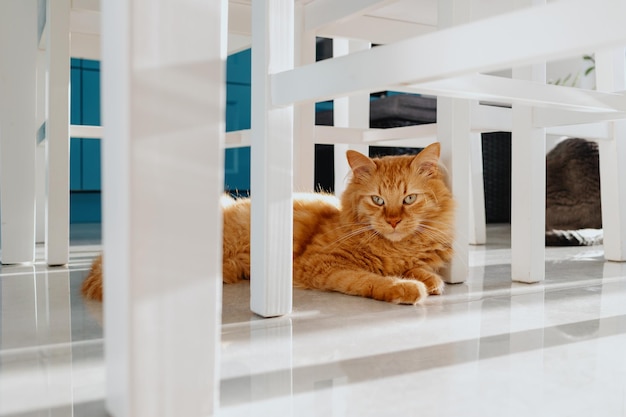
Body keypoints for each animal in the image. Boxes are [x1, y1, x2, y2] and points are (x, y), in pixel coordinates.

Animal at [81, 141, 454, 304]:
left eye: (409, 199)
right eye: (377, 200)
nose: (393, 221)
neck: (395, 247)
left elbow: (420, 268)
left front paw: (430, 279)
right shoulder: (321, 265)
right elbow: (369, 280)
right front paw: (406, 287)